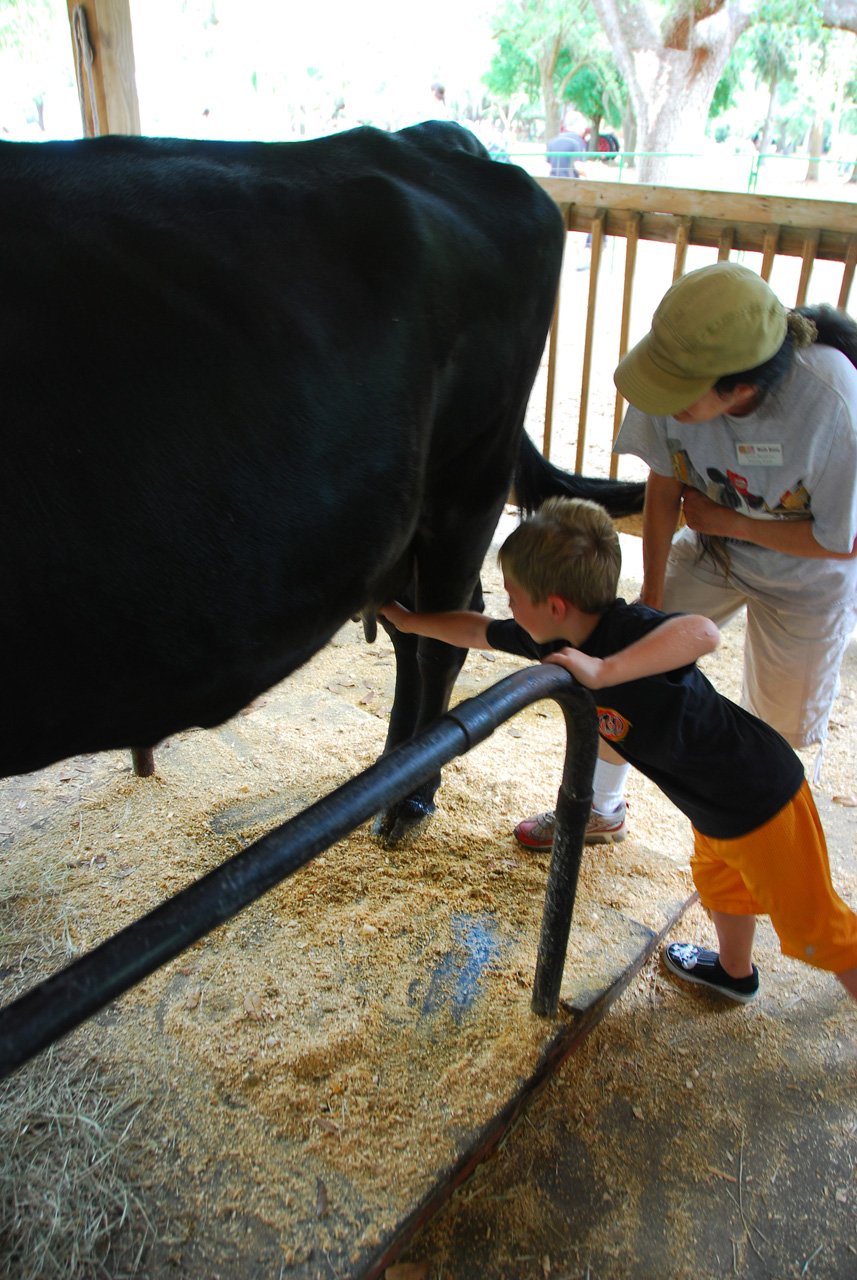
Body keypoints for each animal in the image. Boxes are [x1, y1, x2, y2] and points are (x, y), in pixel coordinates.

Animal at [1, 120, 644, 839]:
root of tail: (429, 138)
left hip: (471, 478)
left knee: (441, 639)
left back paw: (410, 795)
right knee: (420, 628)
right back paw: (387, 774)